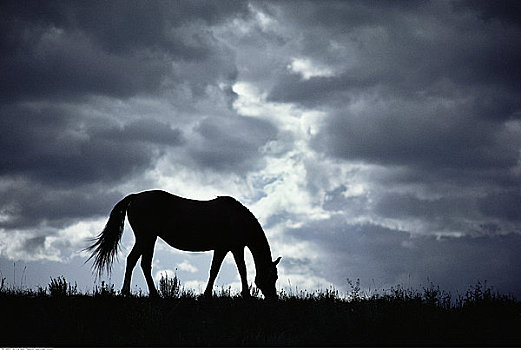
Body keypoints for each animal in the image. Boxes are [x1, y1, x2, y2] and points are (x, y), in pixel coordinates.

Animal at [86, 190, 280, 300]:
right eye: (274, 277)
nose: (274, 298)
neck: (238, 219)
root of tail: (136, 197)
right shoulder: (234, 247)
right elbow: (240, 270)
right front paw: (246, 295)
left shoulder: (223, 248)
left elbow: (215, 270)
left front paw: (207, 295)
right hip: (146, 237)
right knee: (136, 261)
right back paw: (133, 292)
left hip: (148, 238)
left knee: (141, 263)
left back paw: (148, 294)